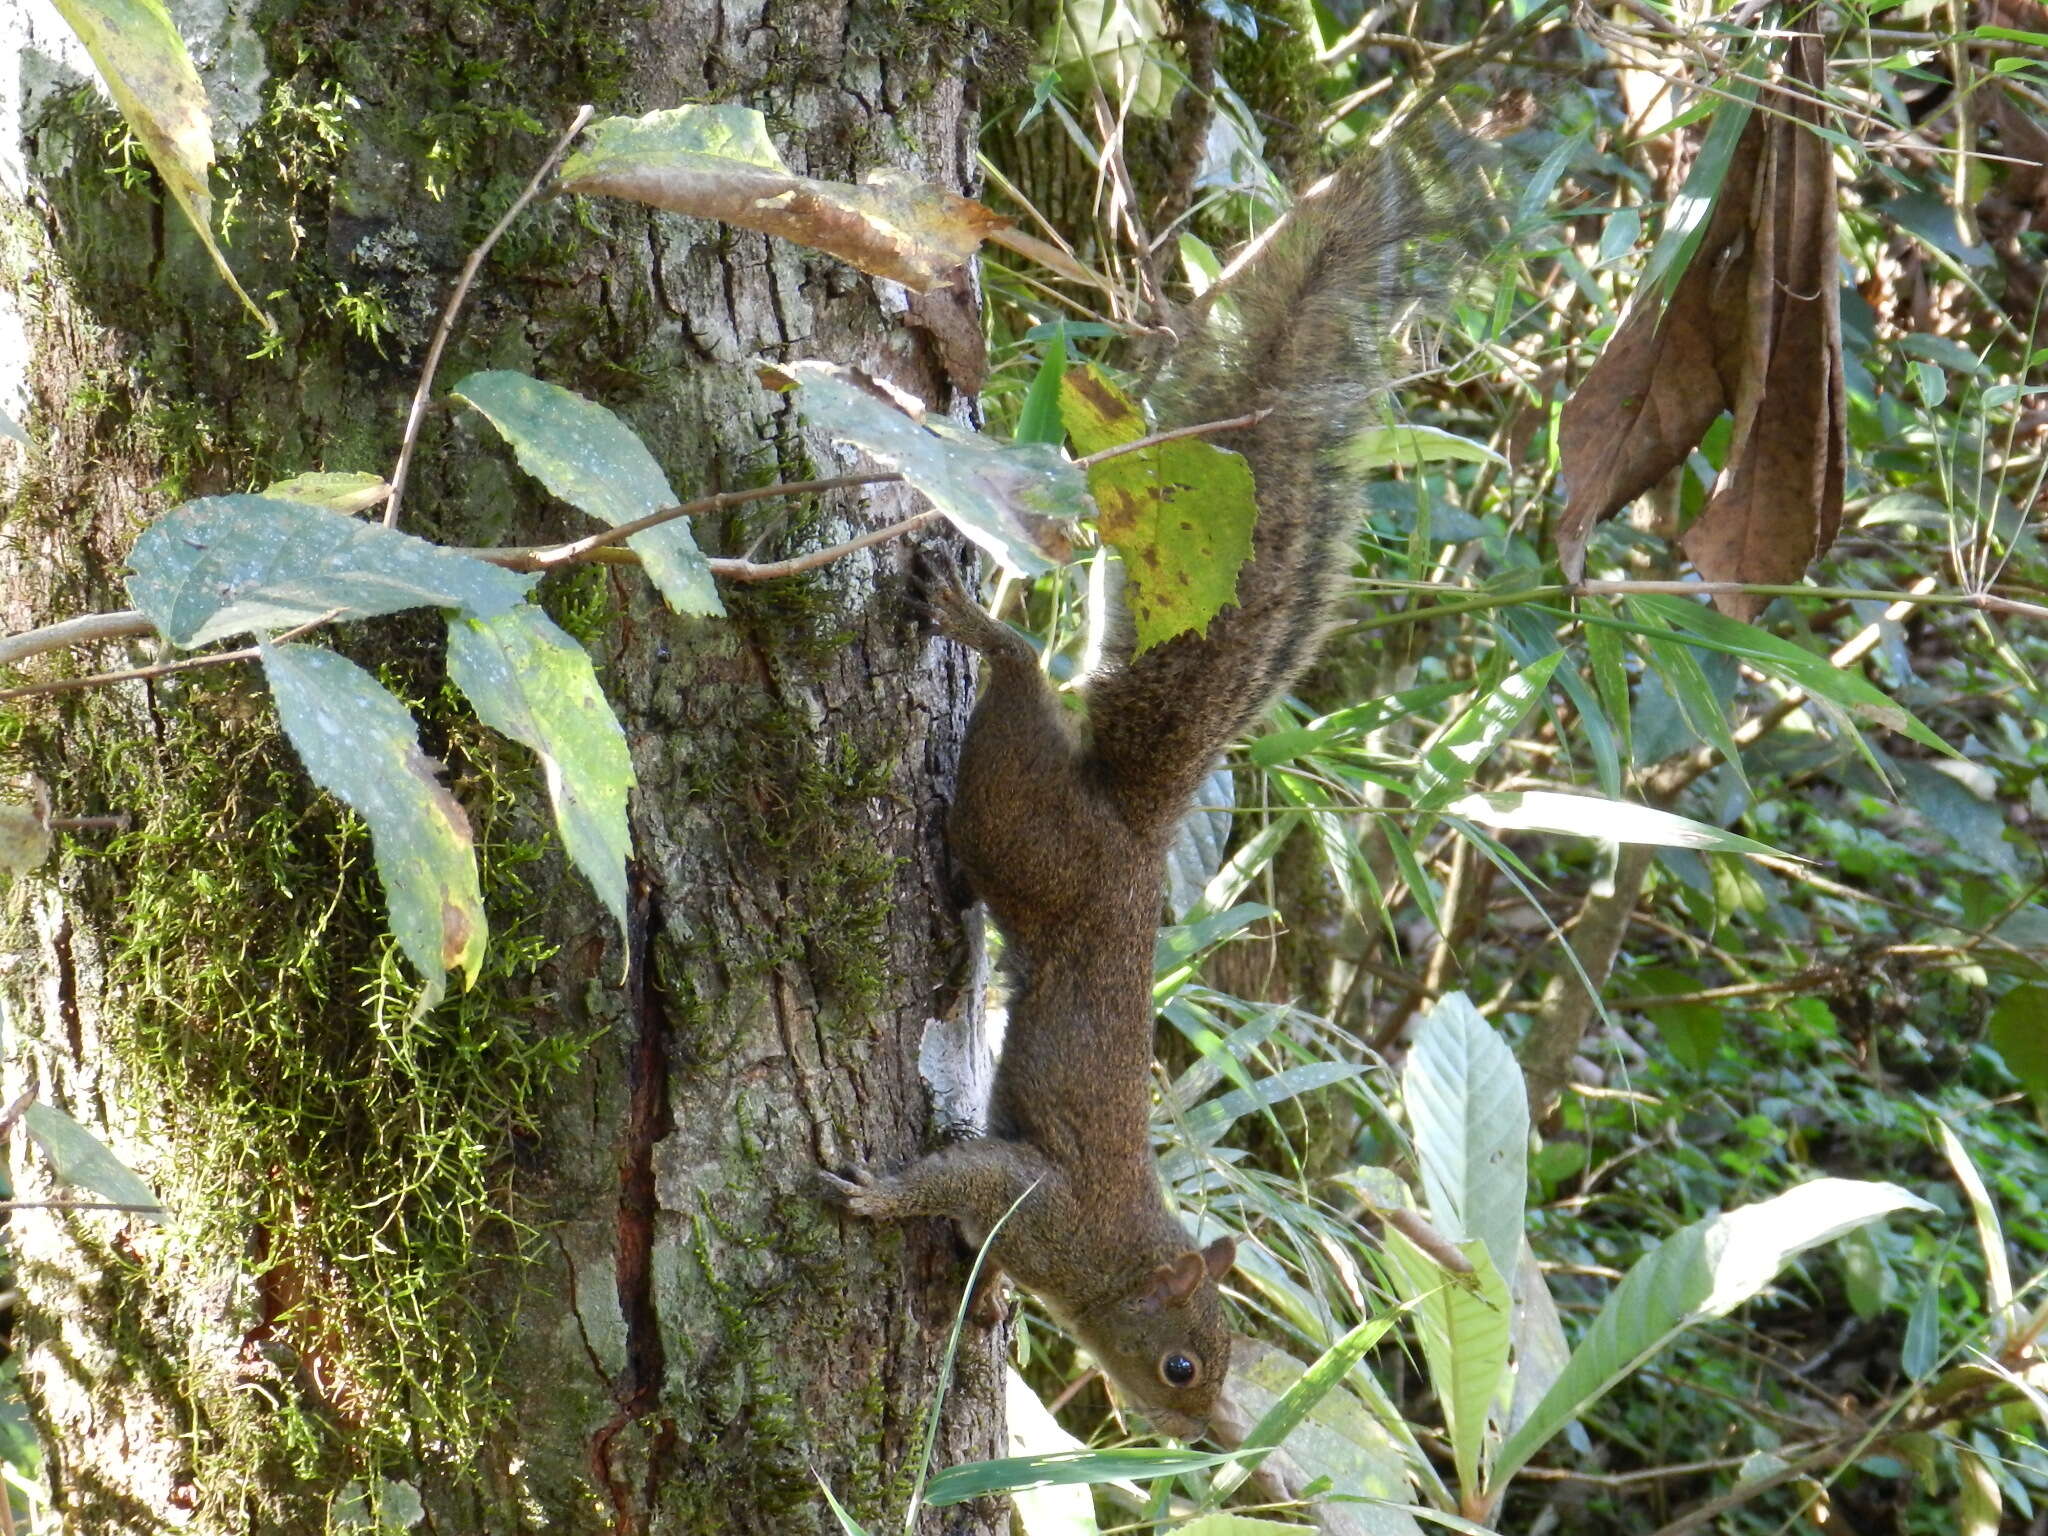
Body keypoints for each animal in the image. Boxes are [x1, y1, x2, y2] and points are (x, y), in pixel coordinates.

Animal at [819, 123, 1490, 1441]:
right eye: (1184, 1364)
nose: (1211, 1436)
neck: (1119, 1259)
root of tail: (1129, 836)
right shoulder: (1040, 1204)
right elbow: (959, 1176)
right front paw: (876, 1198)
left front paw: (967, 1290)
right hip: (1025, 822)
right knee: (1018, 684)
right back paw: (982, 628)